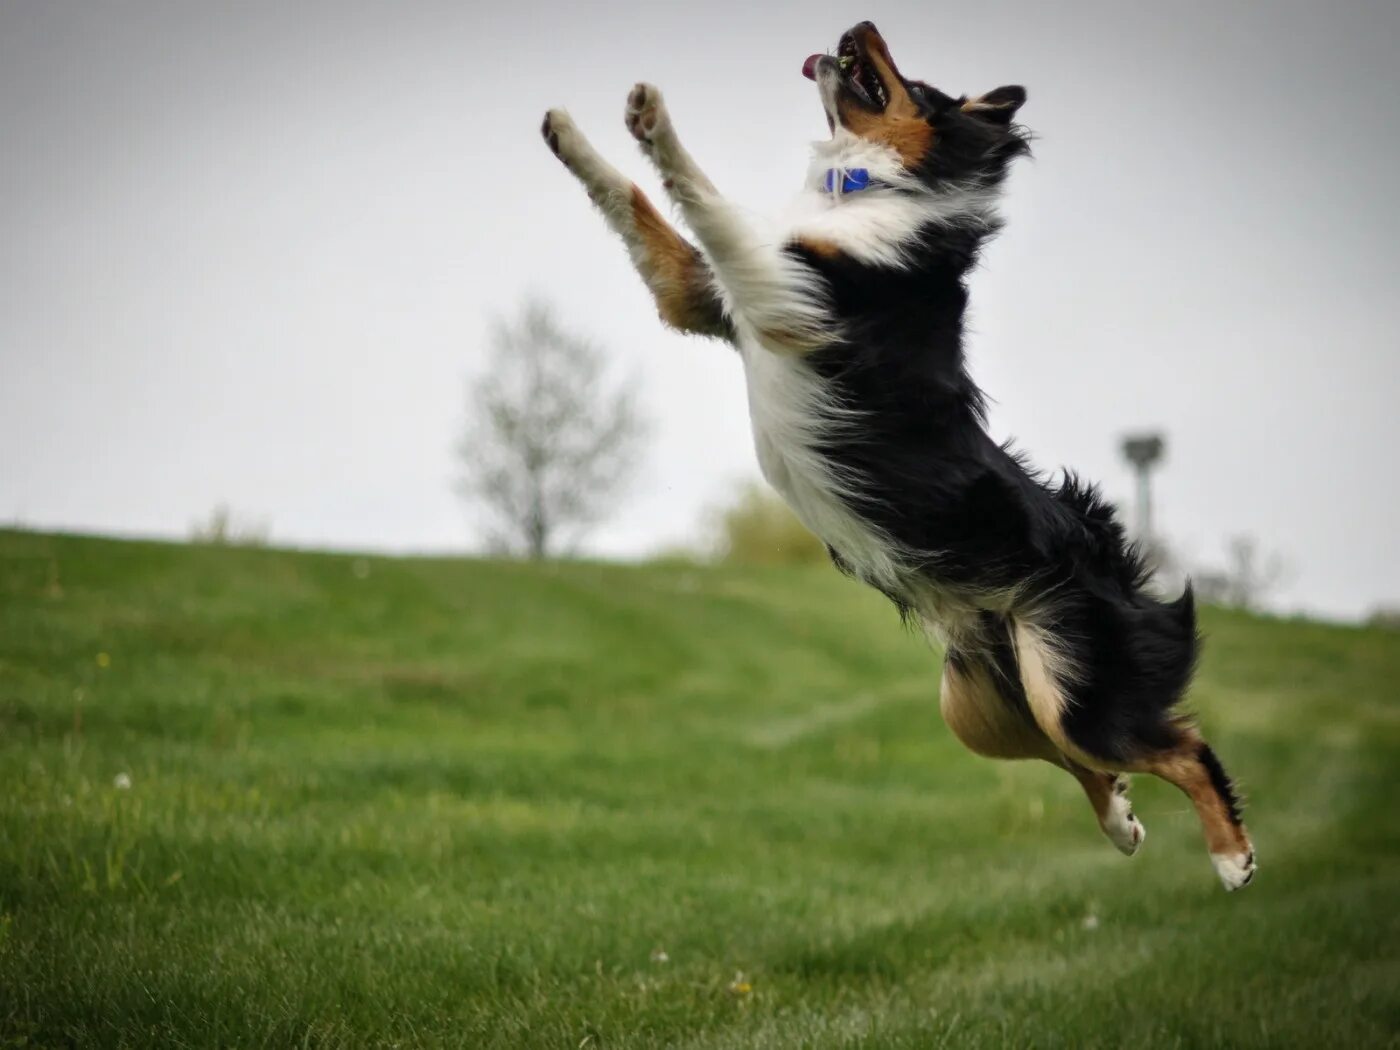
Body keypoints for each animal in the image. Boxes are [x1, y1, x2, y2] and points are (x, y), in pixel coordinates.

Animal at [537, 20, 1260, 890]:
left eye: (916, 84)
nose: (858, 26)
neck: (867, 188)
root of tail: (1104, 549)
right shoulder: (707, 299)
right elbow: (635, 200)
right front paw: (569, 133)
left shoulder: (785, 291)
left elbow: (703, 196)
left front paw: (653, 120)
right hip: (981, 708)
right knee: (1079, 755)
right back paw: (1120, 819)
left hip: (1070, 679)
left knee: (1179, 746)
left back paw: (1232, 857)